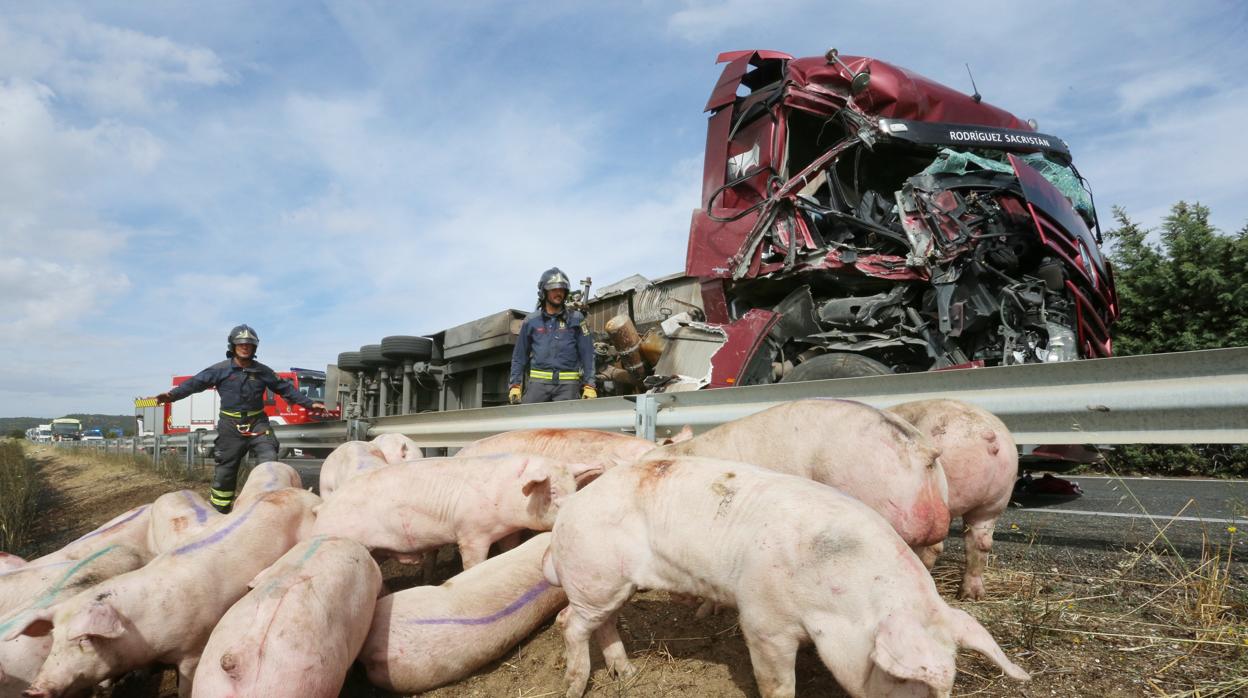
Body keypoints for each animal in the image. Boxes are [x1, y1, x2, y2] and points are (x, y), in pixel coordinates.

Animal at [544, 459, 1023, 698]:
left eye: (951, 682)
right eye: (903, 678)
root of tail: (571, 504)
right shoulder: (763, 621)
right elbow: (777, 683)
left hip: (609, 583)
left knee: (603, 621)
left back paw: (625, 675)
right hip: (595, 572)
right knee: (568, 623)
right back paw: (573, 688)